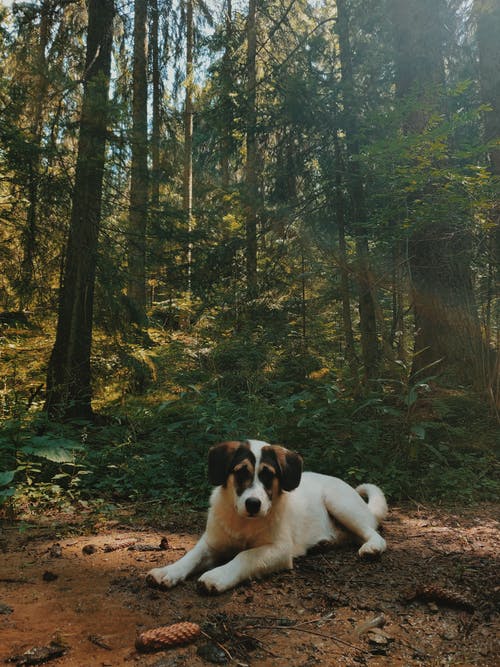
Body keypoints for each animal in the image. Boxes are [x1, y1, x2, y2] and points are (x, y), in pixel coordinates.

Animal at [146, 438, 388, 596]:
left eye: (268, 475)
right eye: (241, 472)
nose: (253, 504)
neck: (244, 523)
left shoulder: (279, 550)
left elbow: (245, 556)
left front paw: (218, 575)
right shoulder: (211, 542)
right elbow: (191, 556)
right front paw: (168, 571)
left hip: (340, 503)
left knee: (373, 533)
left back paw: (371, 547)